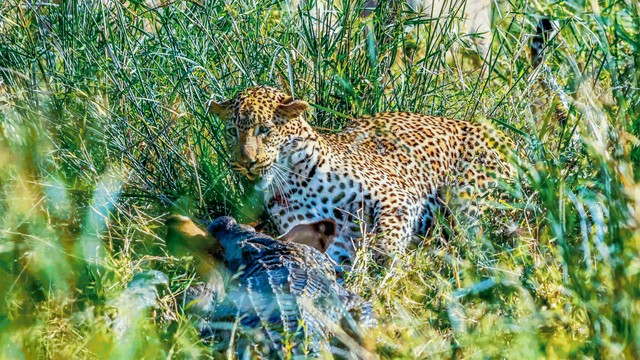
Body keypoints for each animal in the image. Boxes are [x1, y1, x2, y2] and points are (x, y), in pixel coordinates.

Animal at [208, 85, 516, 268]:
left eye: (265, 129)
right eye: (232, 132)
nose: (245, 162)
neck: (293, 180)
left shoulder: (396, 197)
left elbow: (388, 238)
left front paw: (386, 263)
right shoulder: (329, 244)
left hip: (466, 198)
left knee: (475, 243)